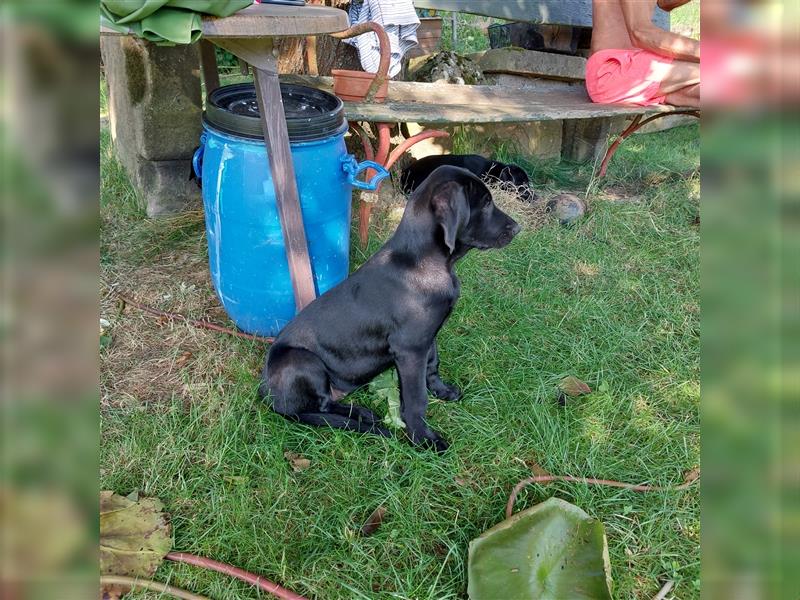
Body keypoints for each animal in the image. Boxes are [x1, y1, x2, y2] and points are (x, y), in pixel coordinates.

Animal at [260, 164, 520, 450]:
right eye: (485, 203)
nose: (518, 228)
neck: (425, 261)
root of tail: (266, 392)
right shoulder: (410, 348)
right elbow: (416, 398)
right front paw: (423, 438)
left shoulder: (427, 337)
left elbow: (433, 365)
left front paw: (442, 391)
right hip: (301, 360)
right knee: (320, 406)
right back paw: (364, 418)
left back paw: (363, 413)